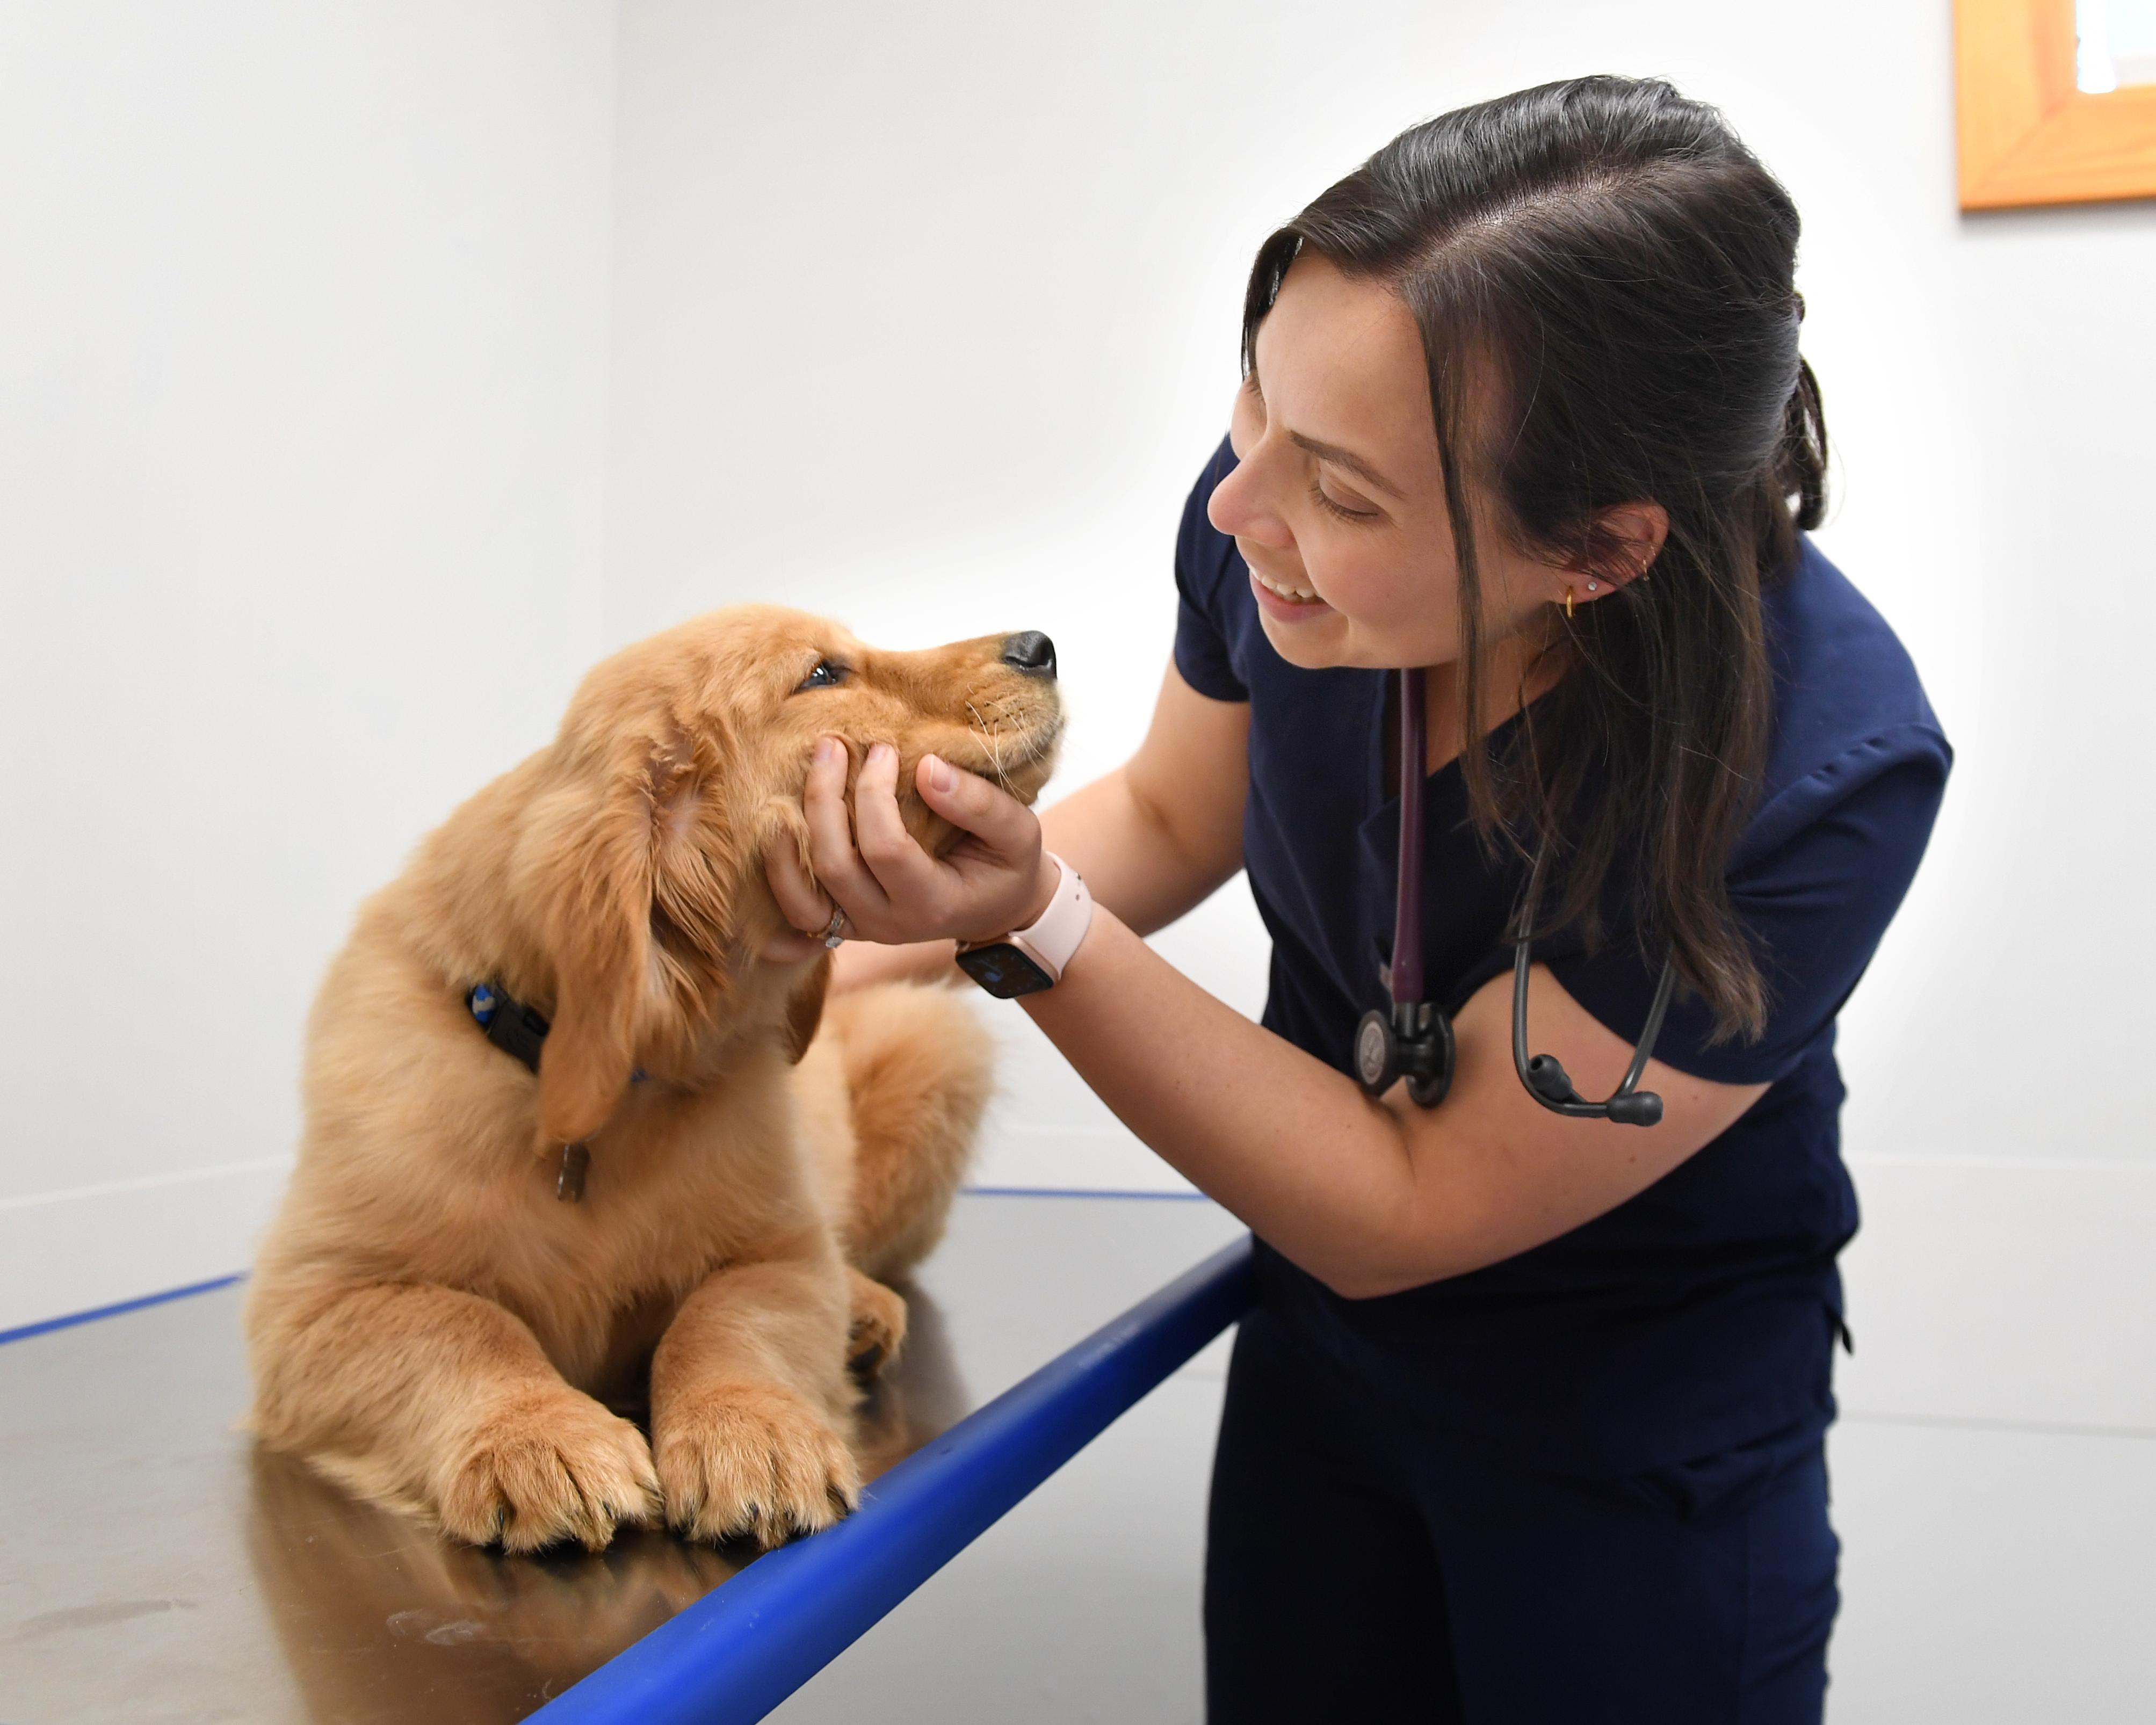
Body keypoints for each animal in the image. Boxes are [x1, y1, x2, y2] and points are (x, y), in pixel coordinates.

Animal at [244, 612, 1060, 1552]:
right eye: (823, 674)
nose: (1041, 646)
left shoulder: (780, 1250)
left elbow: (724, 1321)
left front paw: (751, 1434)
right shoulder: (313, 1300)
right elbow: (460, 1325)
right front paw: (539, 1437)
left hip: (935, 1042)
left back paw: (861, 1310)